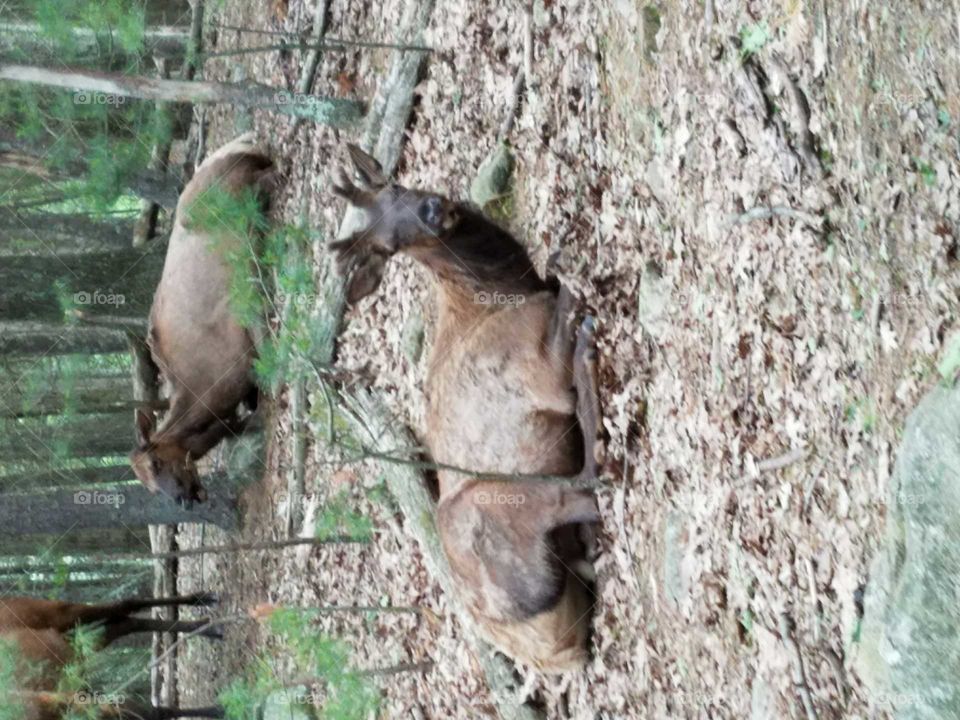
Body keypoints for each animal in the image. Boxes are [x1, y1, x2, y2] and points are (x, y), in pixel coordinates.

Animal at [0, 593, 224, 719]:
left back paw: (203, 602)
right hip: (74, 647)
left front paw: (219, 709)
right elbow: (153, 712)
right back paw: (206, 626)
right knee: (126, 623)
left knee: (124, 606)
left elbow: (152, 711)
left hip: (64, 619)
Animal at [130, 133, 276, 506]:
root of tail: (240, 142)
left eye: (155, 461)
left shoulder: (246, 320)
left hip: (247, 187)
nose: (180, 499)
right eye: (147, 487)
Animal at [329, 145, 603, 673]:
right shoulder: (540, 366)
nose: (432, 209)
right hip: (493, 503)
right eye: (388, 247)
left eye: (397, 186)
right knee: (586, 483)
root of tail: (555, 657)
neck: (499, 289)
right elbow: (561, 290)